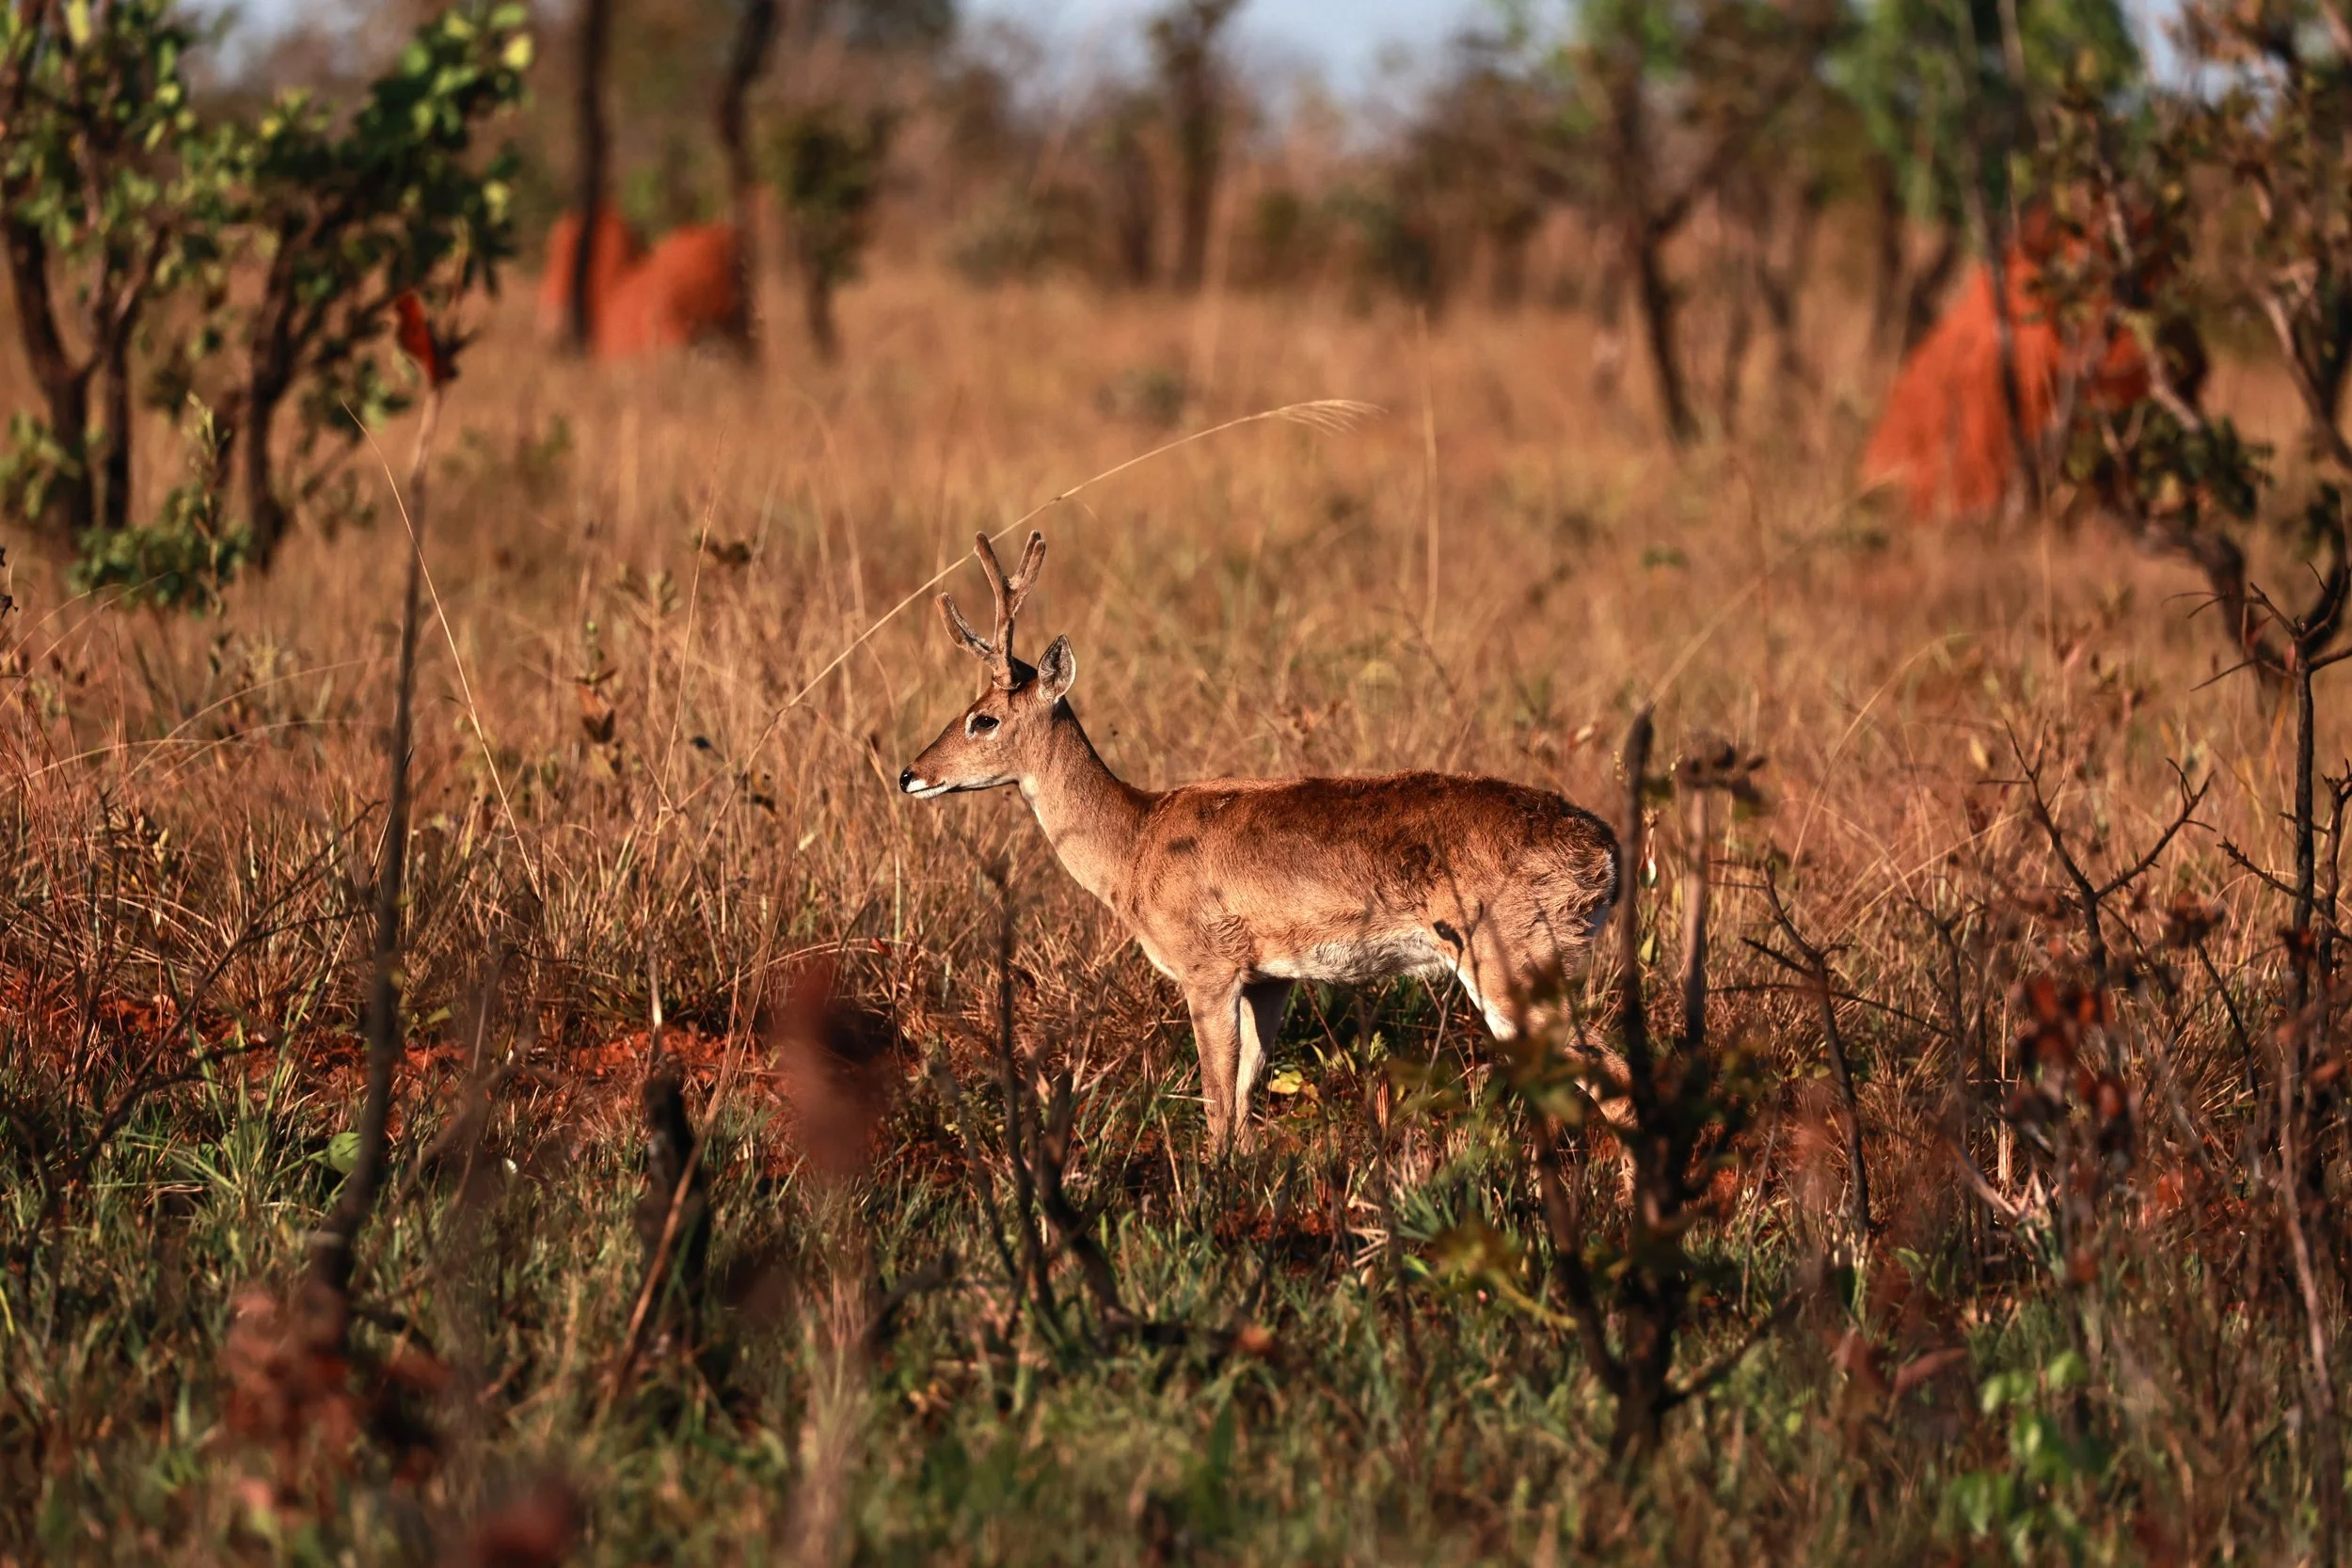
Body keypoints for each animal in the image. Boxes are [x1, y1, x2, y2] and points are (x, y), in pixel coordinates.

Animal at [899, 532, 1622, 1152]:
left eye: (983, 718)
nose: (911, 773)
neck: (1133, 843)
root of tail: (1607, 853)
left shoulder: (1207, 967)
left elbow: (1217, 1099)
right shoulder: (1271, 976)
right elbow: (1247, 1095)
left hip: (1517, 958)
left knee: (1612, 1077)